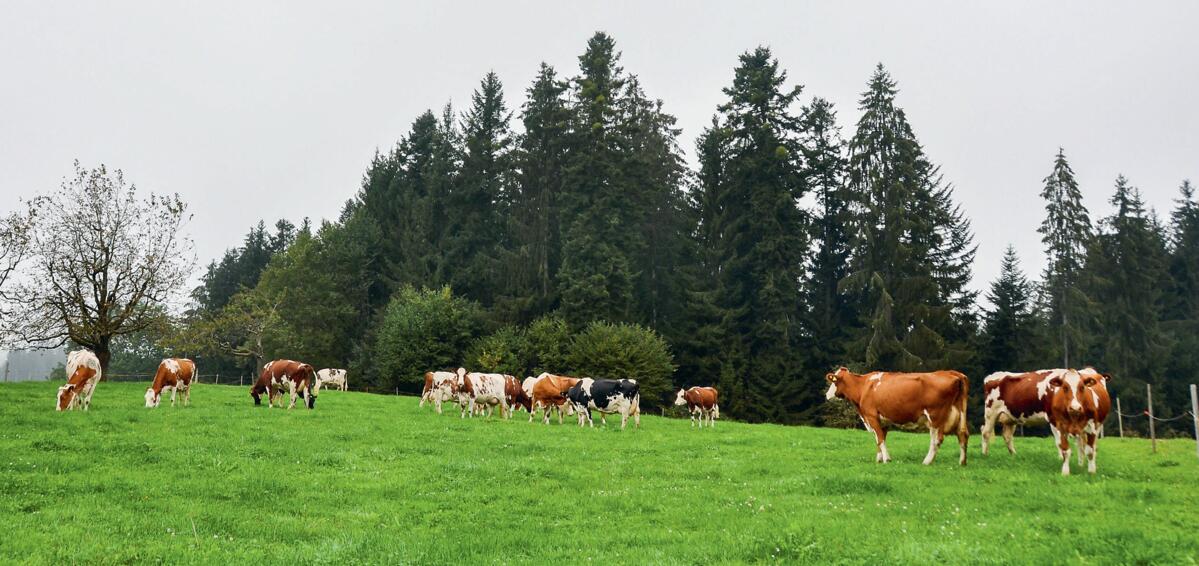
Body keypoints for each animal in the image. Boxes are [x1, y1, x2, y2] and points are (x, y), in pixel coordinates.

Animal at [825, 367, 969, 465]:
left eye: (834, 382)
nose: (827, 395)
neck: (863, 386)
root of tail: (953, 373)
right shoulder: (883, 420)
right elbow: (879, 439)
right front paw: (879, 459)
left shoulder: (871, 416)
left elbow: (879, 439)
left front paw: (886, 459)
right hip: (959, 414)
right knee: (963, 434)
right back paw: (962, 462)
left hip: (935, 416)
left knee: (937, 439)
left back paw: (927, 461)